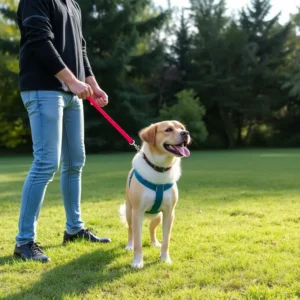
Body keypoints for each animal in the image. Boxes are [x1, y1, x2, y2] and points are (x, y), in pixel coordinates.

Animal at [119, 120, 190, 268]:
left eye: (182, 128)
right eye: (168, 129)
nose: (186, 133)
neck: (160, 169)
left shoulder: (169, 213)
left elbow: (166, 240)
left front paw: (165, 258)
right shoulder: (137, 212)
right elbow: (138, 243)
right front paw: (137, 262)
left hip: (158, 217)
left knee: (152, 228)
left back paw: (154, 242)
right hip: (129, 213)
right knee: (130, 230)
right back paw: (129, 245)